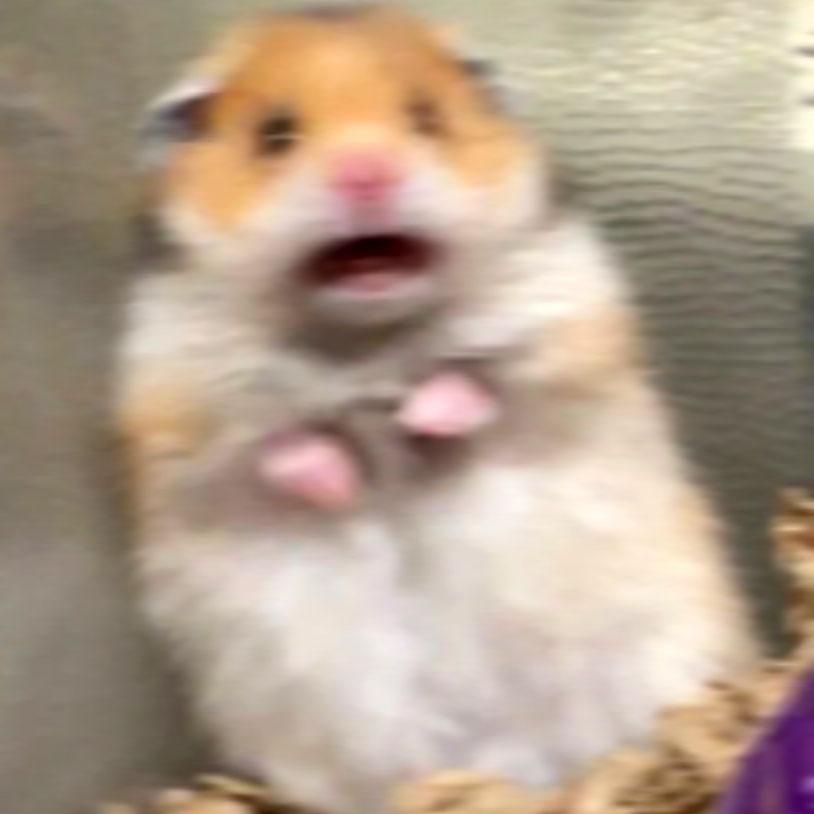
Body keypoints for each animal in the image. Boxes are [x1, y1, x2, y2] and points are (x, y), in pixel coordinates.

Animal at [117, 6, 757, 814]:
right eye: (275, 135)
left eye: (426, 119)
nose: (368, 174)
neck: (369, 340)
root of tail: (506, 767)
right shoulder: (179, 417)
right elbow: (280, 445)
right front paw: (344, 483)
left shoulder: (572, 337)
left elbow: (479, 383)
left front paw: (420, 421)